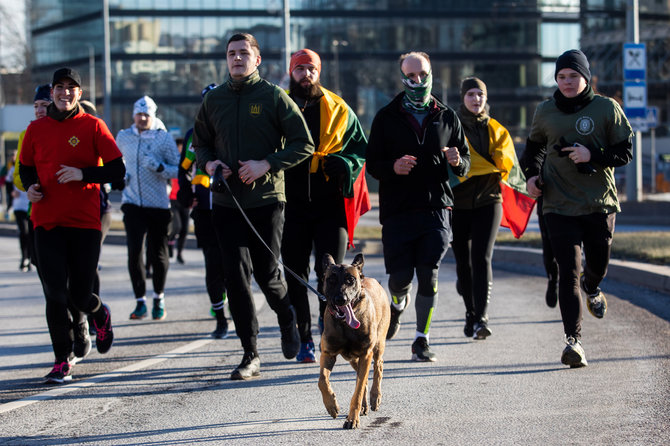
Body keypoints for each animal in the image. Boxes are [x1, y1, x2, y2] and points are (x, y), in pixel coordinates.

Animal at [320, 253, 394, 430]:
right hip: (353, 359)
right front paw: (331, 405)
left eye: (350, 280)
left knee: (378, 368)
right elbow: (322, 380)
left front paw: (352, 419)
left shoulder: (366, 355)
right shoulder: (327, 354)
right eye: (331, 280)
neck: (344, 325)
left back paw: (375, 397)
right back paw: (365, 405)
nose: (341, 299)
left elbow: (358, 390)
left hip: (377, 346)